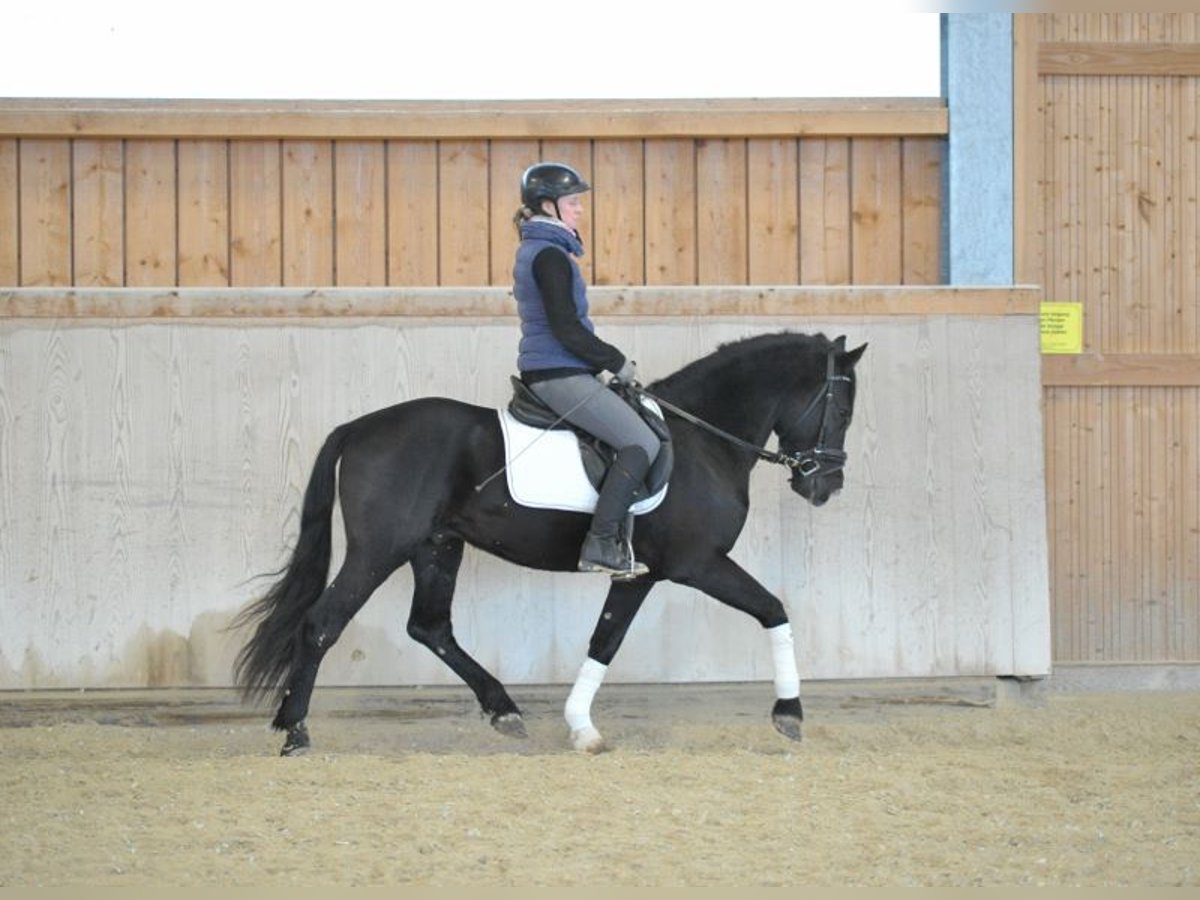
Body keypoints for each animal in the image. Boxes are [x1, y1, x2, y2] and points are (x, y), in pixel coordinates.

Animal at [231, 331, 864, 753]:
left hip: (436, 546)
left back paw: (504, 711)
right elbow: (773, 609)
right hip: (378, 550)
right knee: (323, 623)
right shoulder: (697, 563)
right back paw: (295, 730)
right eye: (842, 407)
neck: (702, 440)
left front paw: (581, 725)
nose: (826, 485)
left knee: (429, 627)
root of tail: (358, 427)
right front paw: (790, 712)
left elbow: (604, 641)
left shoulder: (640, 574)